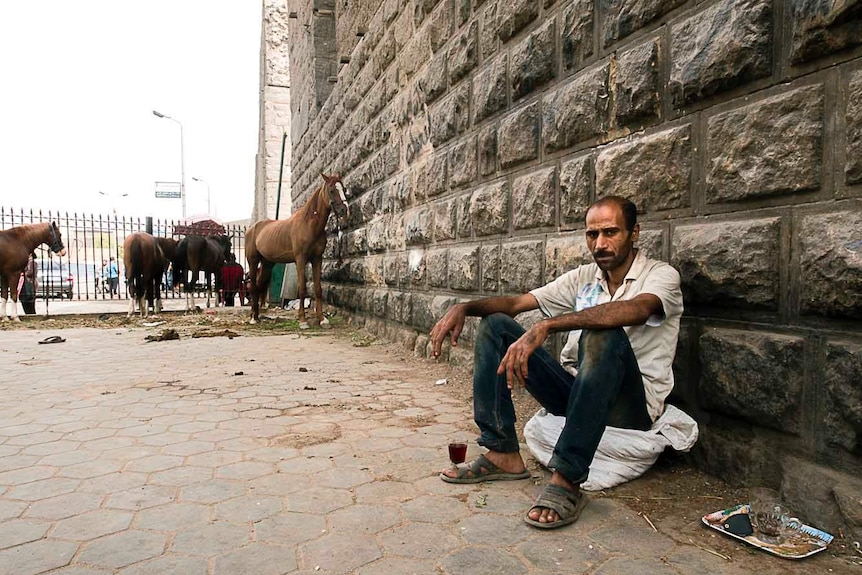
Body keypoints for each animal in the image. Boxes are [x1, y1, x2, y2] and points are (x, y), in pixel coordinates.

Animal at [245, 171, 350, 326]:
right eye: (332, 190)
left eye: (344, 189)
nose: (345, 210)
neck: (309, 225)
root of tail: (252, 228)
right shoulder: (300, 260)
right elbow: (302, 289)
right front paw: (303, 321)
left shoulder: (317, 259)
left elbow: (318, 289)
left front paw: (322, 319)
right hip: (253, 261)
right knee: (253, 287)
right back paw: (252, 318)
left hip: (267, 264)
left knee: (259, 286)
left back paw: (256, 316)